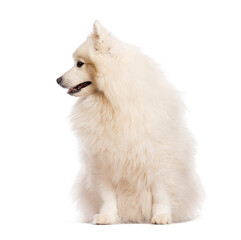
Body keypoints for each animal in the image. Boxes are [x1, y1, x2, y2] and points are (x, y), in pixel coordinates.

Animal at [56, 21, 201, 225]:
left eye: (79, 64)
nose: (57, 79)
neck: (110, 103)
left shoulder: (158, 159)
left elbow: (161, 193)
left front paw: (161, 216)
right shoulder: (103, 162)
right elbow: (108, 196)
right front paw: (107, 217)